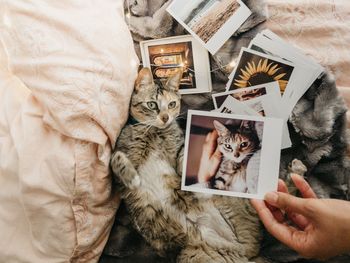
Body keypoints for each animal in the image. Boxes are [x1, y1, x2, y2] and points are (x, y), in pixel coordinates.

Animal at [106, 68, 262, 263]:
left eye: (172, 104)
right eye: (152, 105)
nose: (165, 117)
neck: (155, 132)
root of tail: (243, 251)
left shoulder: (178, 153)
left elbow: (182, 159)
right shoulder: (117, 173)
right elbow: (115, 158)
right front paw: (132, 178)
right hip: (192, 254)